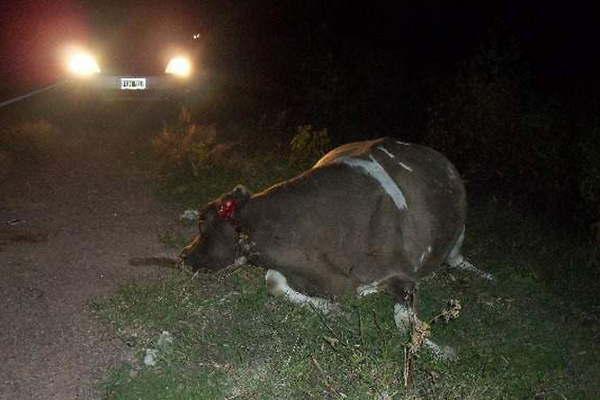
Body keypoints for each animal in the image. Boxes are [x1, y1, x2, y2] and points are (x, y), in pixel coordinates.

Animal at [178, 138, 488, 360]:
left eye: (203, 223)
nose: (182, 256)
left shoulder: (401, 275)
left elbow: (404, 322)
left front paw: (442, 351)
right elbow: (273, 281)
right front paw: (331, 310)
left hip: (460, 230)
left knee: (457, 258)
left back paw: (483, 274)